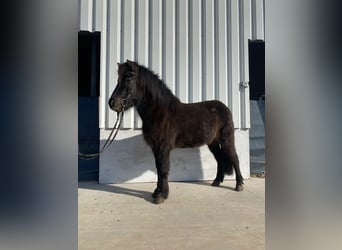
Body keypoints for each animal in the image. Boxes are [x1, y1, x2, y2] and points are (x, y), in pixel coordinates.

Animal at [108, 59, 244, 204]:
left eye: (128, 78)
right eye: (118, 79)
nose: (112, 103)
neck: (160, 113)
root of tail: (224, 108)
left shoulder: (163, 147)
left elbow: (163, 169)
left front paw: (161, 195)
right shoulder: (156, 148)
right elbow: (158, 168)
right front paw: (156, 192)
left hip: (226, 140)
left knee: (234, 158)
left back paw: (239, 185)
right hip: (212, 143)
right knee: (219, 159)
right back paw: (217, 181)